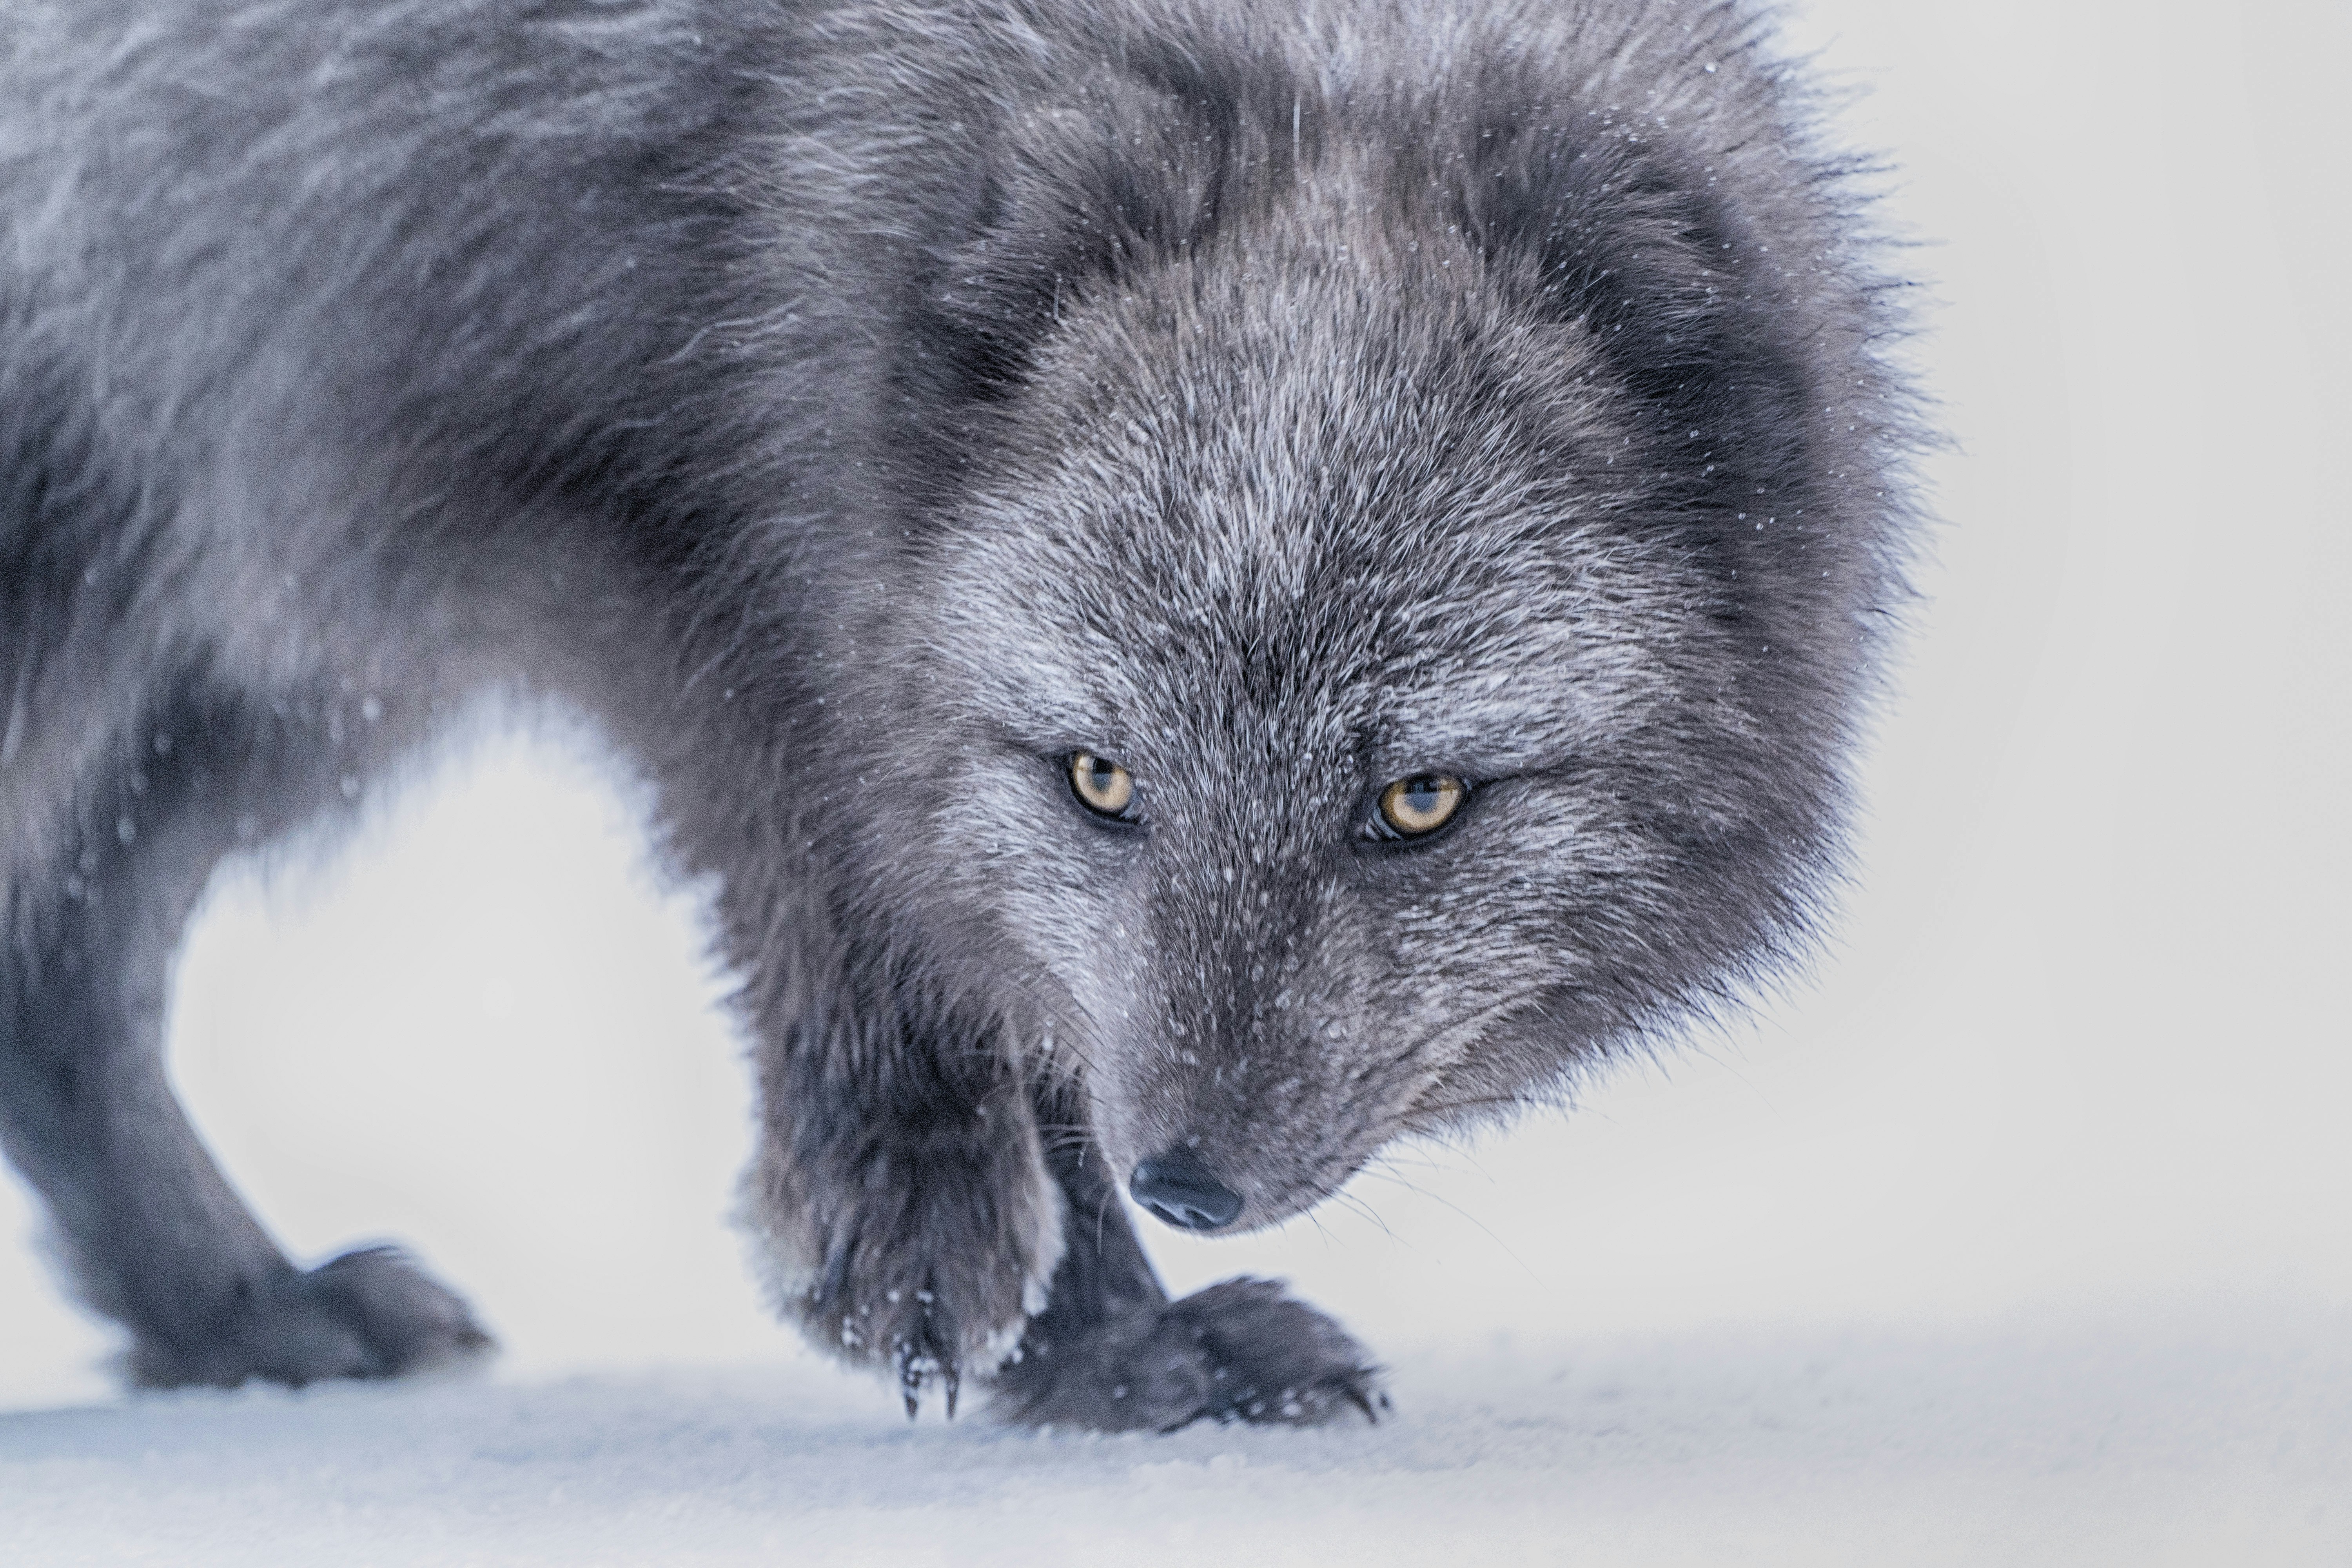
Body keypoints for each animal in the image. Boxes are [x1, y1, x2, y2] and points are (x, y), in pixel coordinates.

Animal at [0, 0, 1920, 1431]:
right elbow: (846, 842)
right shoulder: (607, 497)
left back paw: (239, 1314)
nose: (1190, 1180)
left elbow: (1019, 974)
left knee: (58, 962)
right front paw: (942, 1222)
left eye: (1418, 801)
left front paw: (1110, 1351)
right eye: (1099, 778)